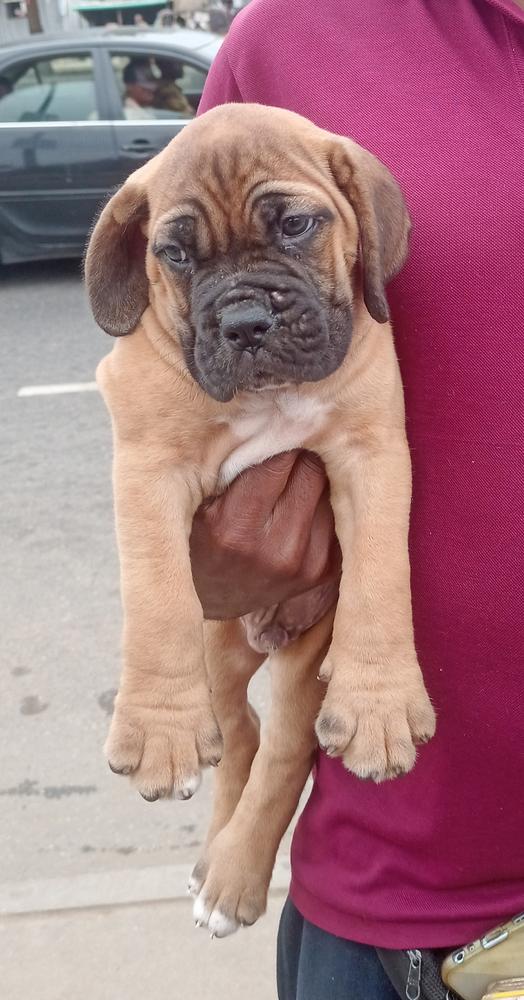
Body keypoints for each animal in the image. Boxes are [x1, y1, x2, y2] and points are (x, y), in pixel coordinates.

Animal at [86, 103, 436, 936]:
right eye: (175, 253)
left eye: (298, 226)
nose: (244, 321)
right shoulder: (147, 460)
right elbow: (156, 594)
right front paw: (159, 727)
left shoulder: (373, 452)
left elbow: (382, 576)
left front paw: (381, 701)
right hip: (217, 643)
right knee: (238, 732)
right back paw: (217, 859)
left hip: (307, 660)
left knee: (279, 752)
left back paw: (234, 875)